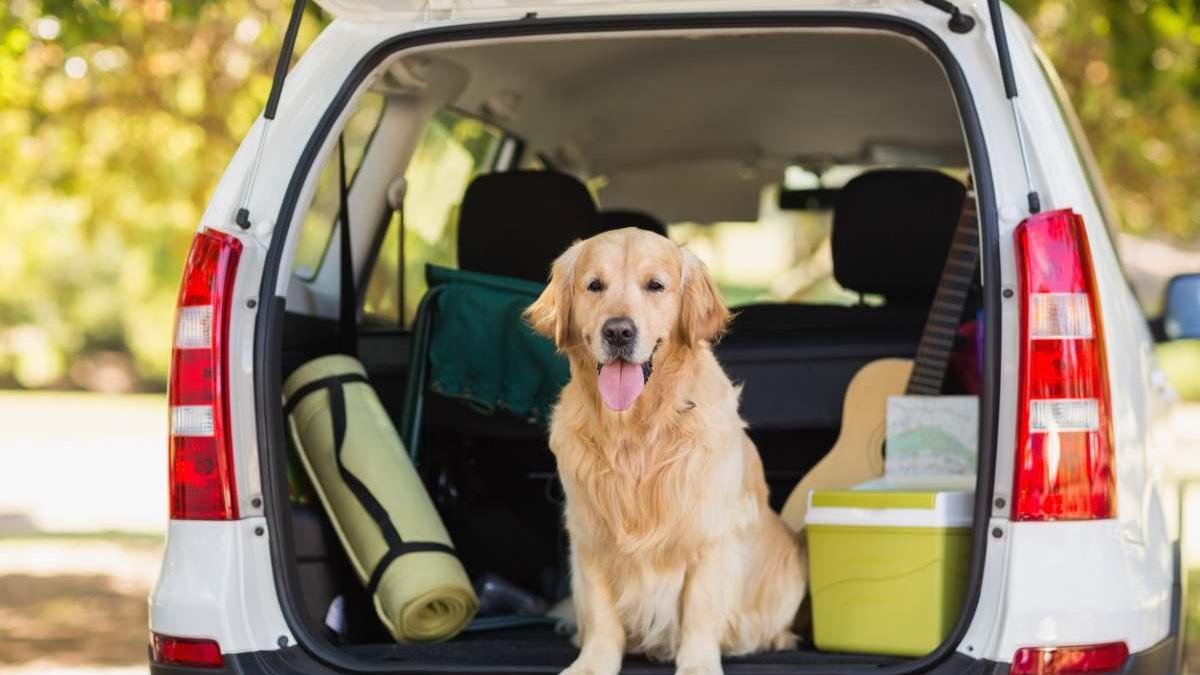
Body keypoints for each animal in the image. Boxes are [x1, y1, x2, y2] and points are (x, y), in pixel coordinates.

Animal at [525, 227, 806, 672]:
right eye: (594, 285)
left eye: (655, 285)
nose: (618, 331)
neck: (636, 431)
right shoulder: (590, 535)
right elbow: (602, 616)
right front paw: (593, 663)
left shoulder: (710, 535)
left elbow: (700, 612)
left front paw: (698, 665)